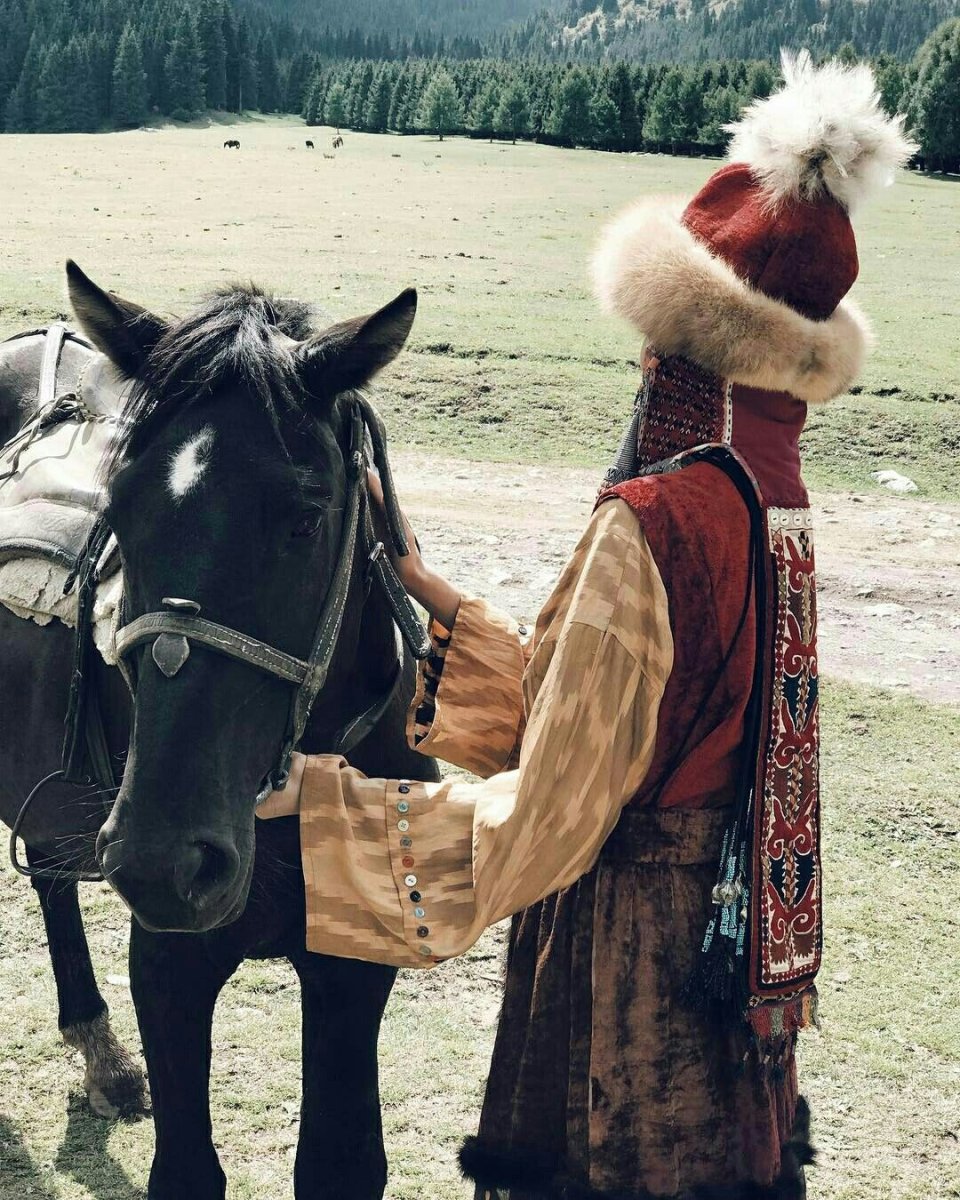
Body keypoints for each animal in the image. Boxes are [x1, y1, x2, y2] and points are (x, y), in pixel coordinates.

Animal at [0, 263, 439, 1199]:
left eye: (306, 517)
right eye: (121, 507)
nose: (165, 859)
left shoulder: (354, 964)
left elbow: (342, 1163)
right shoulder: (171, 961)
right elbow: (188, 1170)